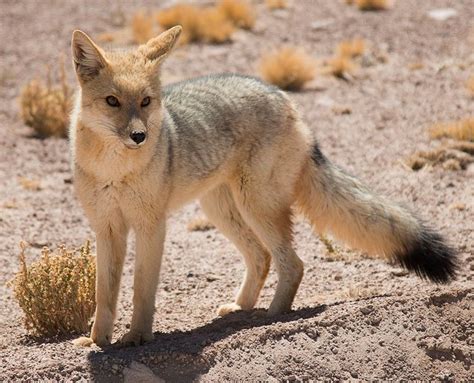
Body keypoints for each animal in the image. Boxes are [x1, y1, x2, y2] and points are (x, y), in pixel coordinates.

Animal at [69, 24, 460, 348]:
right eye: (112, 101)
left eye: (146, 101)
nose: (139, 136)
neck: (114, 170)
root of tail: (286, 99)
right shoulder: (107, 228)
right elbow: (105, 293)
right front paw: (97, 341)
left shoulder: (151, 226)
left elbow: (141, 290)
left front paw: (136, 337)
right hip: (222, 209)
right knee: (261, 256)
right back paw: (241, 307)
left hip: (255, 207)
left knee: (292, 262)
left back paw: (273, 316)